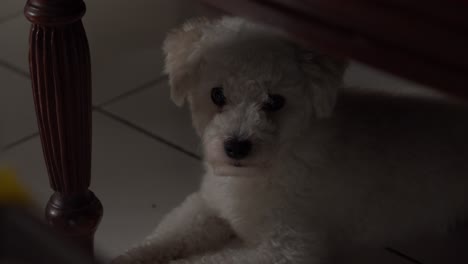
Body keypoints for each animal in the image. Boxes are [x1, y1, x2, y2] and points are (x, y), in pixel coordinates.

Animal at [112, 17, 468, 264]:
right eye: (217, 95)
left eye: (275, 101)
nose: (236, 147)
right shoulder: (206, 204)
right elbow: (165, 234)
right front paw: (129, 256)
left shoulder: (286, 249)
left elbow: (206, 261)